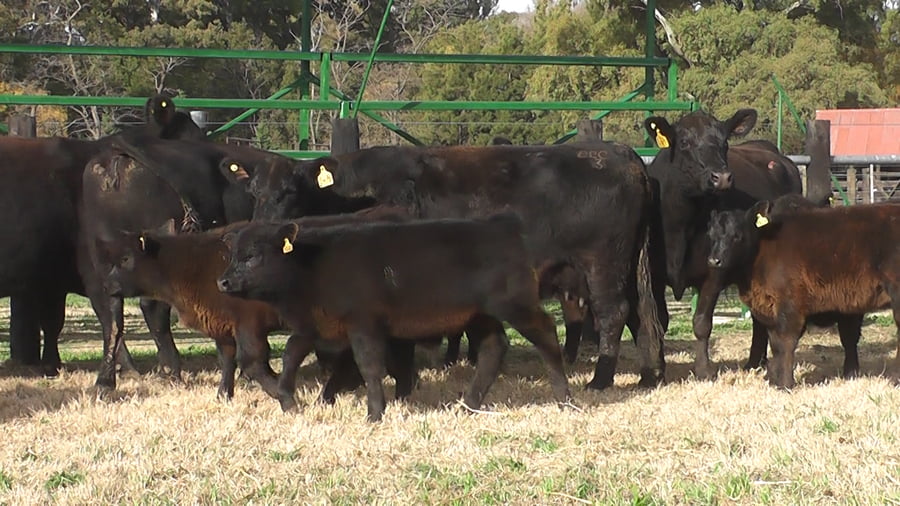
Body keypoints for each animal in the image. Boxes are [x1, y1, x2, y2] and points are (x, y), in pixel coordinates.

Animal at [216, 214, 572, 421]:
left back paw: (564, 398)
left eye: (252, 256)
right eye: (233, 255)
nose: (223, 282)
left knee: (546, 334)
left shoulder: (363, 323)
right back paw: (468, 404)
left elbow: (369, 366)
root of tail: (503, 225)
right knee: (493, 348)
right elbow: (291, 354)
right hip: (479, 315)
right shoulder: (314, 324)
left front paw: (375, 413)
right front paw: (286, 400)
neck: (312, 268)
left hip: (514, 304)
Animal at [233, 143, 666, 390]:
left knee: (614, 314)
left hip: (602, 264)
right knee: (642, 315)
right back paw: (650, 374)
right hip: (626, 267)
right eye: (252, 191)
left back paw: (601, 379)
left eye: (290, 191)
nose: (260, 227)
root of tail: (624, 155)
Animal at [643, 109, 803, 379]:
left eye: (725, 143)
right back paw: (754, 362)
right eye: (684, 142)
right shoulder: (654, 275)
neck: (680, 226)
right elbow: (660, 323)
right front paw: (659, 371)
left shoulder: (715, 270)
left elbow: (701, 323)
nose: (723, 177)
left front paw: (703, 370)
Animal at [706, 199, 900, 388]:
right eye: (711, 236)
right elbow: (775, 345)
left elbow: (786, 343)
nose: (714, 260)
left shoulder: (790, 304)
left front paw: (785, 384)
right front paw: (773, 381)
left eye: (737, 236)